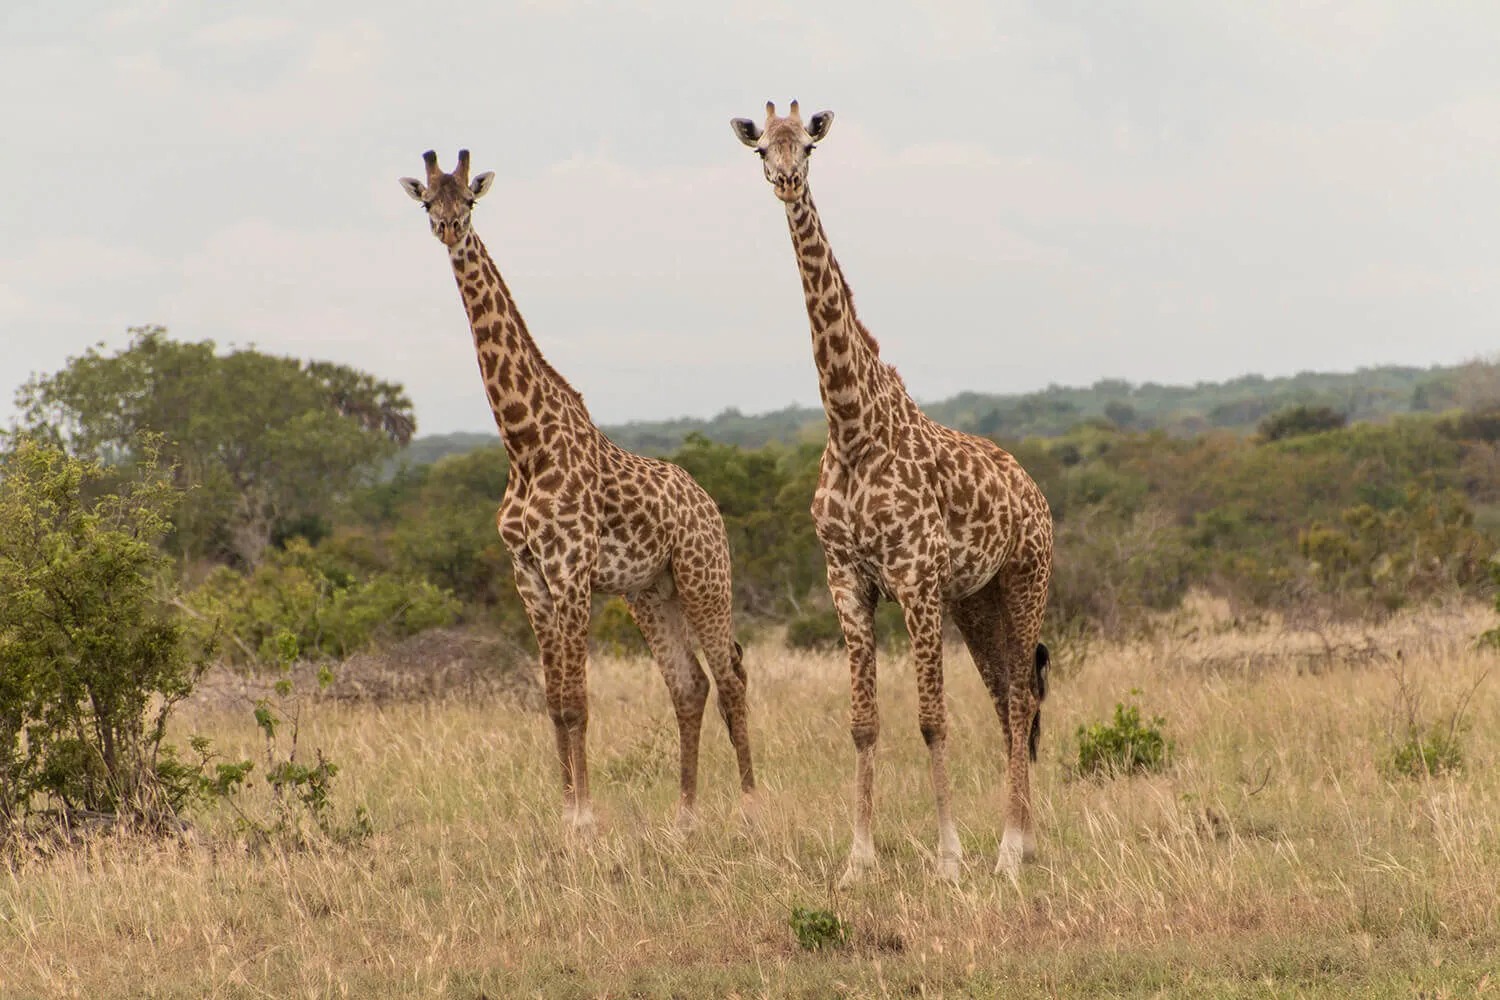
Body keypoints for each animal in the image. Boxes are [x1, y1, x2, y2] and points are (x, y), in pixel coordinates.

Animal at [399, 150, 755, 830]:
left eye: (470, 201)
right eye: (428, 201)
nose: (450, 229)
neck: (524, 444)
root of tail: (709, 503)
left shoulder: (569, 571)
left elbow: (578, 700)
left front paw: (585, 817)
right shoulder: (530, 577)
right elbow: (553, 700)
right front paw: (565, 809)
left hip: (705, 577)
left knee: (732, 678)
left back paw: (752, 803)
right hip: (651, 592)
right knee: (690, 684)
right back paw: (686, 814)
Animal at [730, 104, 1054, 879]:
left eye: (808, 145)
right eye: (761, 148)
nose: (785, 181)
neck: (852, 429)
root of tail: (1033, 489)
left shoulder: (914, 579)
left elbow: (931, 720)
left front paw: (949, 857)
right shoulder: (848, 580)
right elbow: (862, 722)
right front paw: (858, 859)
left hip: (1026, 578)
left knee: (1021, 698)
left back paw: (1007, 850)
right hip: (976, 598)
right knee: (1007, 696)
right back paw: (1022, 840)